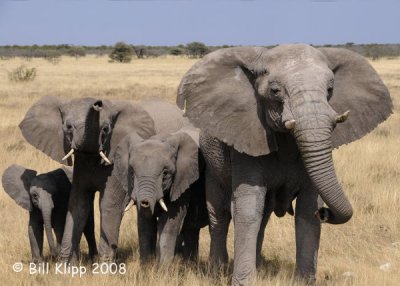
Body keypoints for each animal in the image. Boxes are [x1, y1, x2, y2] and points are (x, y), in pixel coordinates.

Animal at [19, 96, 155, 264]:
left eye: (106, 129)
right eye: (68, 127)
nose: (97, 104)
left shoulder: (116, 160)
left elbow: (109, 204)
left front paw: (104, 266)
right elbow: (78, 202)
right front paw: (68, 265)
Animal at [98, 105, 208, 264]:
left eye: (166, 174)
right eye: (132, 172)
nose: (145, 202)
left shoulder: (182, 181)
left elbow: (170, 220)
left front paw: (162, 269)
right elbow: (145, 223)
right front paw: (147, 266)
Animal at [177, 44, 392, 284]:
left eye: (330, 89)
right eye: (275, 91)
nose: (325, 213)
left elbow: (306, 211)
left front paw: (304, 281)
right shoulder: (247, 141)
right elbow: (248, 209)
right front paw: (244, 282)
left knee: (263, 217)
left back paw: (258, 266)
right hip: (212, 162)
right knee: (220, 213)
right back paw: (218, 272)